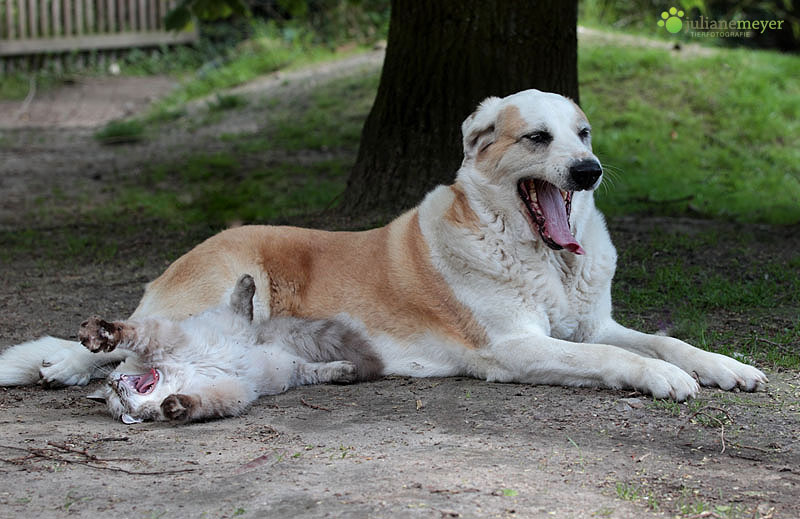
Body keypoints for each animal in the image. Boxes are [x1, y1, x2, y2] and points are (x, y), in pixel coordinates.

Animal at [0, 89, 768, 400]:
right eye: (536, 138)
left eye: (581, 134)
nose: (589, 170)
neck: (539, 254)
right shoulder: (516, 347)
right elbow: (619, 357)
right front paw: (665, 380)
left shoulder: (592, 322)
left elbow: (661, 338)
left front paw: (725, 367)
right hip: (227, 286)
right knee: (127, 345)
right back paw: (71, 365)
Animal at [76, 274, 382, 424]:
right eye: (117, 399)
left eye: (114, 390)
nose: (114, 381)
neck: (180, 375)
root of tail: (259, 337)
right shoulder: (230, 391)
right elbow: (202, 404)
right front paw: (175, 408)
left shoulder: (163, 339)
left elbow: (128, 333)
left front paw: (99, 334)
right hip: (292, 371)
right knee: (315, 371)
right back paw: (345, 371)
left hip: (229, 323)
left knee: (240, 307)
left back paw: (246, 283)